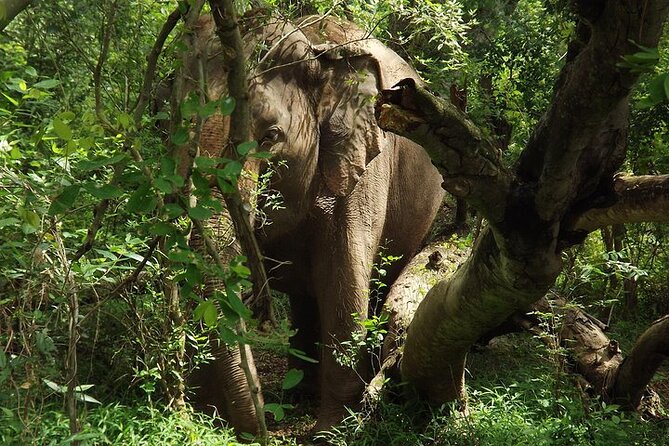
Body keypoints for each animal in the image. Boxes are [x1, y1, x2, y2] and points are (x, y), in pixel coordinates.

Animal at [186, 13, 445, 432]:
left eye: (271, 135)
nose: (260, 421)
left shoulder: (361, 166)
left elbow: (343, 283)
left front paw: (331, 433)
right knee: (305, 299)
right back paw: (297, 395)